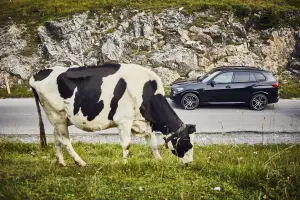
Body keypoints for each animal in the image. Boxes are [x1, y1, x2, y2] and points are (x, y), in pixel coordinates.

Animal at [29, 63, 196, 166]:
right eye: (187, 142)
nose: (189, 163)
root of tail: (37, 74)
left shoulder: (144, 121)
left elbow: (153, 144)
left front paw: (159, 160)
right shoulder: (124, 120)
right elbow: (127, 144)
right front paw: (125, 164)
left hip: (60, 118)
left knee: (56, 138)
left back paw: (61, 162)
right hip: (57, 115)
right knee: (65, 140)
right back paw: (80, 162)